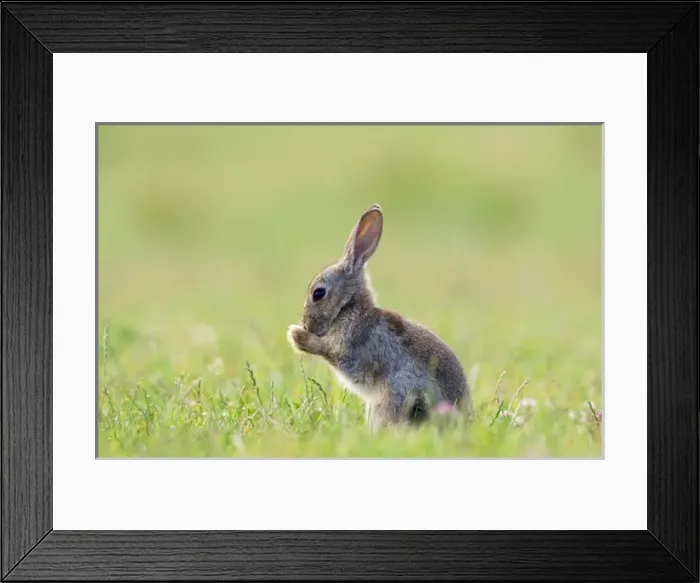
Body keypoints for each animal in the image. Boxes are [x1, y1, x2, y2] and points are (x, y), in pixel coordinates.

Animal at [287, 203, 470, 429]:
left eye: (318, 293)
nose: (306, 325)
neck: (349, 308)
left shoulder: (352, 349)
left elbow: (329, 351)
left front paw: (296, 336)